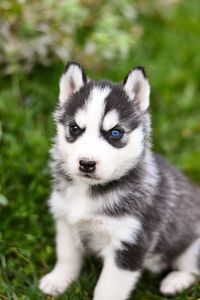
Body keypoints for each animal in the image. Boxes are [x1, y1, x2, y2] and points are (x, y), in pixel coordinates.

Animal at [39, 62, 200, 298]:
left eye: (115, 133)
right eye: (74, 128)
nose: (86, 163)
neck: (89, 190)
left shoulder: (131, 242)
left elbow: (108, 288)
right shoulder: (66, 221)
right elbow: (67, 255)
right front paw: (58, 280)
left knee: (192, 268)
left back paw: (174, 281)